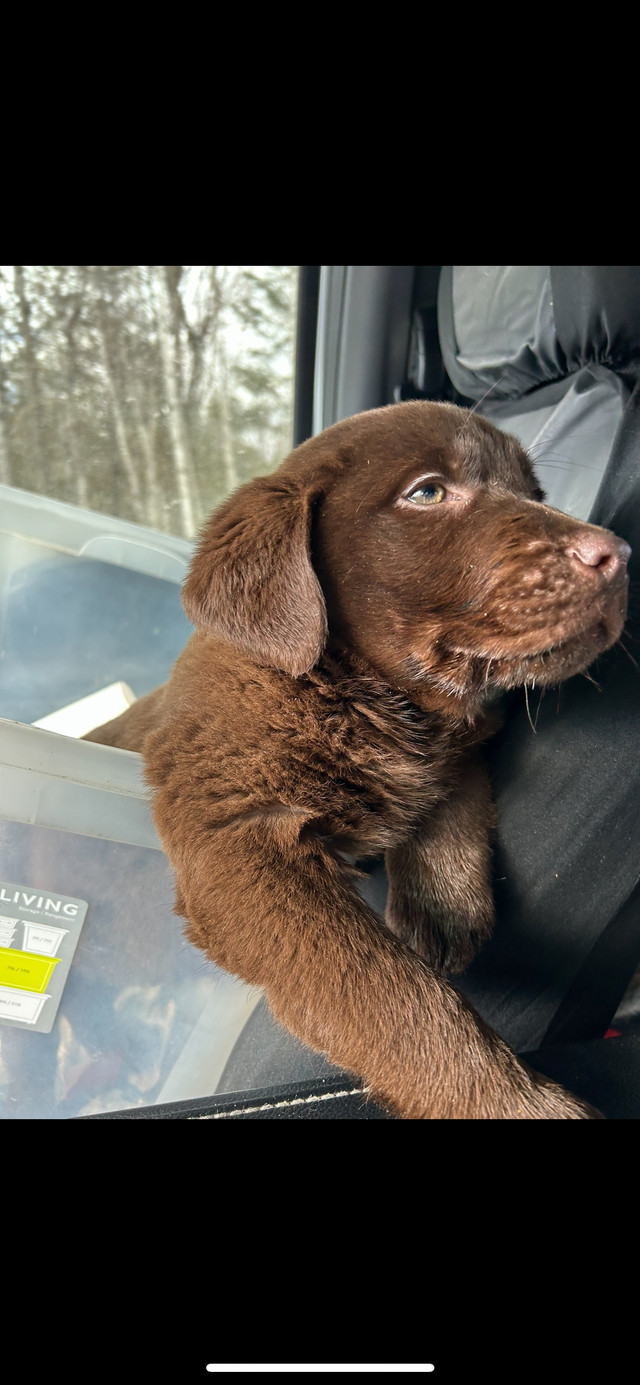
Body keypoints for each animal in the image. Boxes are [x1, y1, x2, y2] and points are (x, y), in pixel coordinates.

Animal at [84, 401, 628, 1113]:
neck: (353, 690)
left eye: (535, 493)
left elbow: (446, 784)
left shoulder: (456, 736)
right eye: (427, 493)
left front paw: (443, 906)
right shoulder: (240, 842)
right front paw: (517, 1103)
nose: (619, 555)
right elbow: (398, 996)